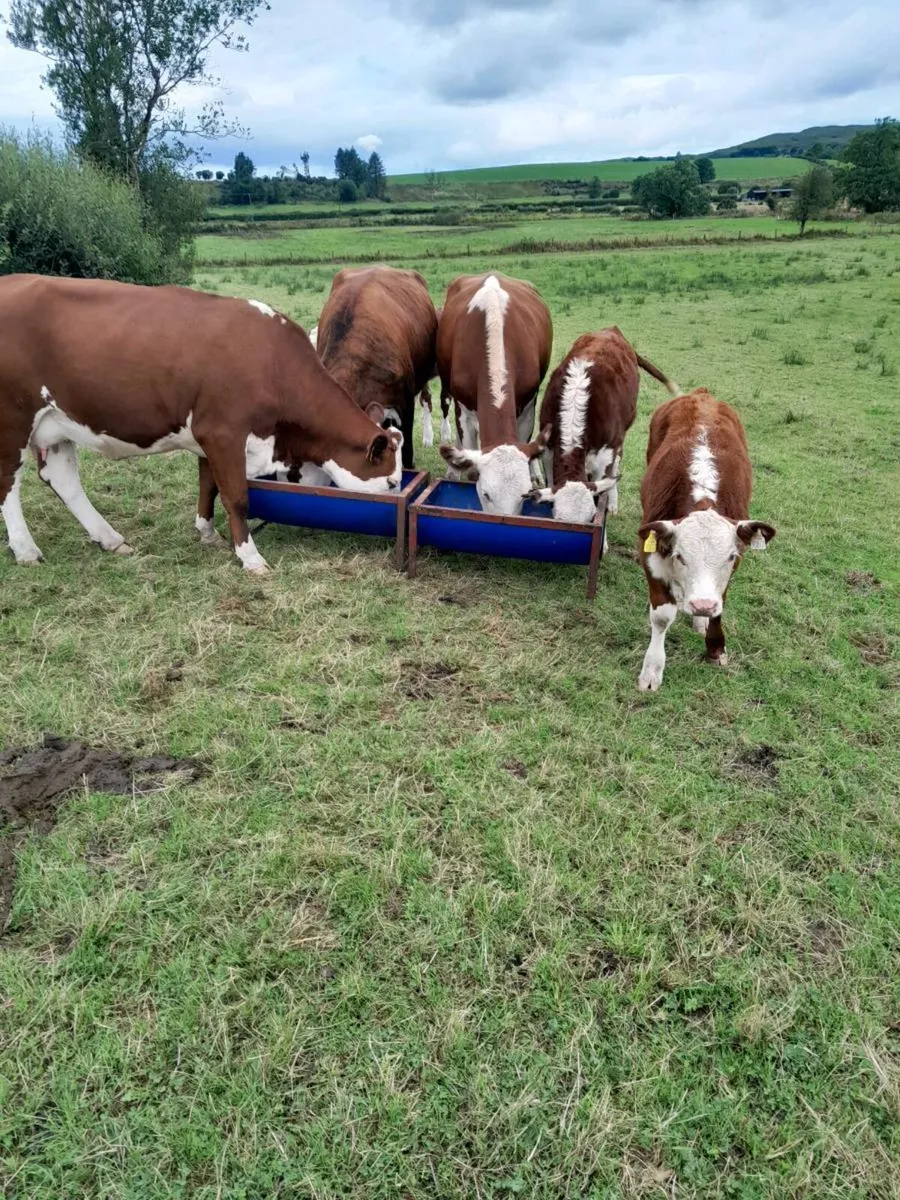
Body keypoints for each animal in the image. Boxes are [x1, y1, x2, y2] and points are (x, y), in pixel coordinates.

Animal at [0, 275, 401, 574]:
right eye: (391, 481)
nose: (397, 492)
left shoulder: (209, 437)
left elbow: (208, 484)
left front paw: (207, 534)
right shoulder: (224, 433)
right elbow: (236, 496)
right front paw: (250, 557)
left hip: (57, 422)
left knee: (63, 479)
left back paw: (111, 539)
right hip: (13, 421)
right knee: (8, 483)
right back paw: (26, 549)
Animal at [529, 328, 680, 534]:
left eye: (591, 517)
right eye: (557, 517)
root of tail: (611, 329)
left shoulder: (605, 455)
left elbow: (601, 497)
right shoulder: (549, 452)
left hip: (621, 436)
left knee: (616, 464)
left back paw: (613, 502)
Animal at [636, 389, 776, 691]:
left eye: (731, 556)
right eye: (679, 556)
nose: (702, 605)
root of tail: (700, 394)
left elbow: (720, 601)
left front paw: (715, 648)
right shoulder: (651, 552)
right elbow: (662, 616)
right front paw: (652, 671)